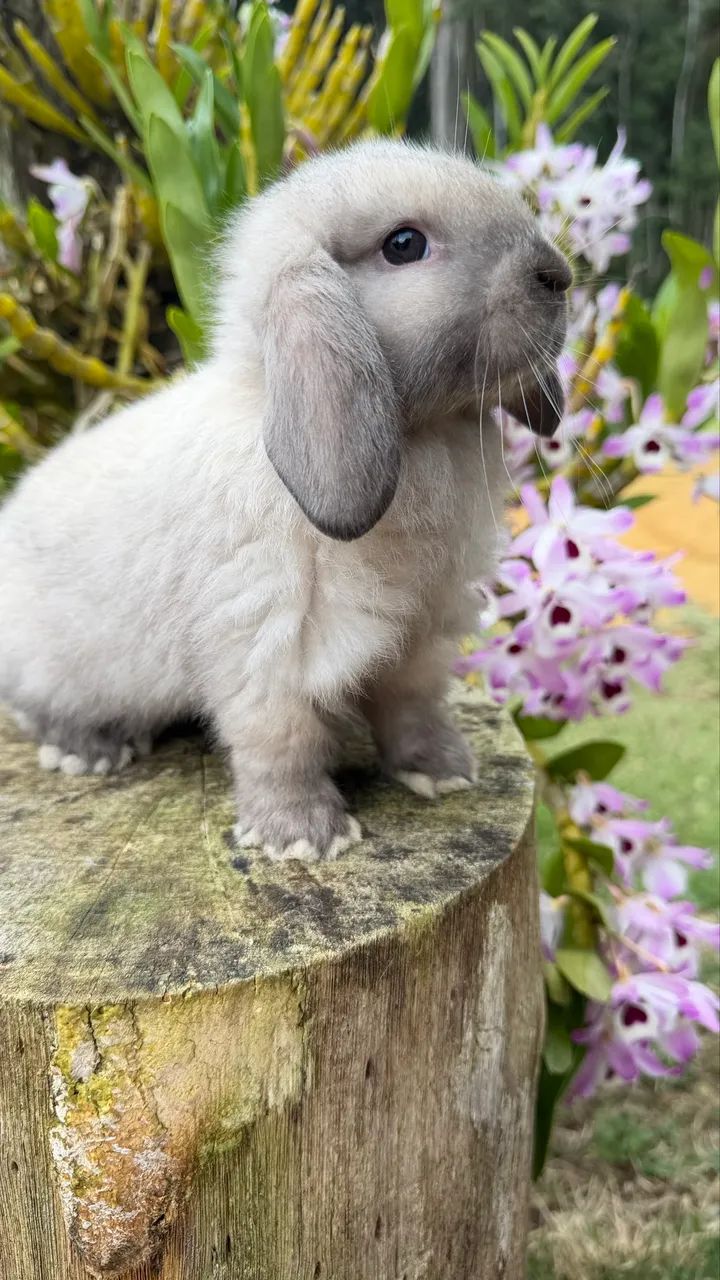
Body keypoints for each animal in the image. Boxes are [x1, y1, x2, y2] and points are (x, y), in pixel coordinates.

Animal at [0, 139, 570, 862]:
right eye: (404, 244)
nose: (558, 275)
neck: (422, 439)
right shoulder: (270, 649)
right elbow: (282, 746)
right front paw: (302, 837)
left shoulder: (421, 637)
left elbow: (412, 707)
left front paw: (443, 772)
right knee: (38, 707)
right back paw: (90, 751)